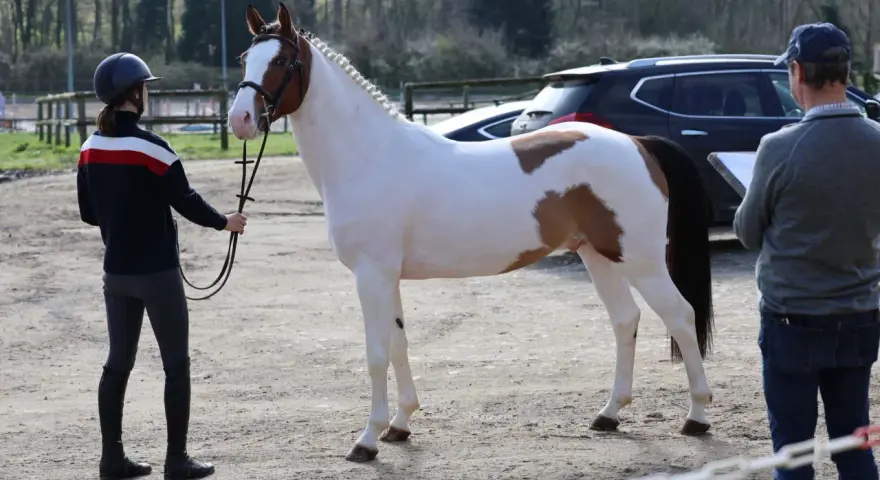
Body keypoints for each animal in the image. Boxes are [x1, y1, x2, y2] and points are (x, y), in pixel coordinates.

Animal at [228, 3, 715, 463]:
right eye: (244, 59)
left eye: (282, 61)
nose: (240, 120)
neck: (370, 156)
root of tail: (638, 143)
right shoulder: (388, 277)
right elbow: (400, 344)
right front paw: (400, 426)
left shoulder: (371, 275)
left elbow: (377, 355)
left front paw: (366, 440)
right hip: (598, 255)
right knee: (625, 320)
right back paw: (609, 414)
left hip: (642, 261)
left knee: (681, 316)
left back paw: (697, 416)